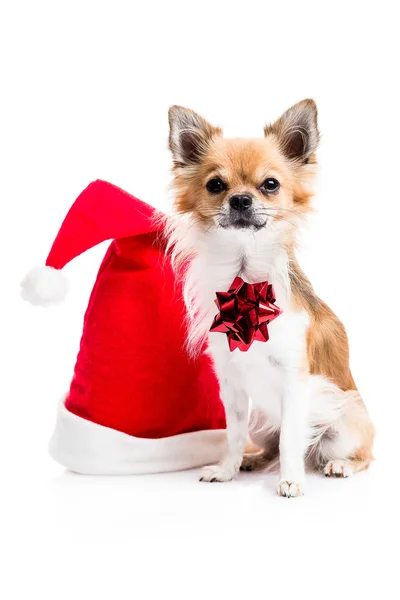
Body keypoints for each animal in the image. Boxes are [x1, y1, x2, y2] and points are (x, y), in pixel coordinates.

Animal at [166, 99, 376, 496]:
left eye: (270, 184)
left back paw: (339, 464)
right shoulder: (231, 385)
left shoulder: (295, 381)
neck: (246, 281)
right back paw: (252, 461)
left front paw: (291, 481)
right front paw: (226, 470)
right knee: (269, 446)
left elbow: (291, 439)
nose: (240, 199)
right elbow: (234, 434)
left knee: (362, 456)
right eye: (215, 185)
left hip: (343, 419)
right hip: (262, 423)